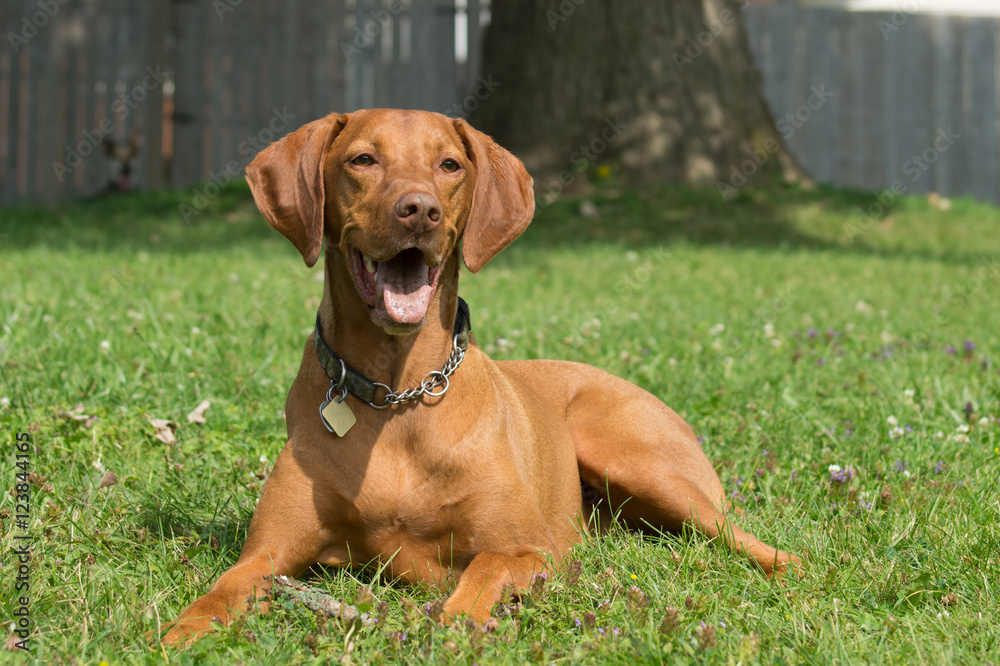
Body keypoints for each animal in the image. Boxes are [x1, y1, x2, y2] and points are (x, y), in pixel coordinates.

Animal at [162, 109, 796, 644]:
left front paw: (455, 625)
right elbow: (220, 591)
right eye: (363, 160)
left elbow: (483, 570)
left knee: (762, 544)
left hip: (635, 460)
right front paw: (181, 634)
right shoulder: (265, 554)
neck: (397, 393)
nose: (419, 210)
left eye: (449, 165)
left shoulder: (529, 549)